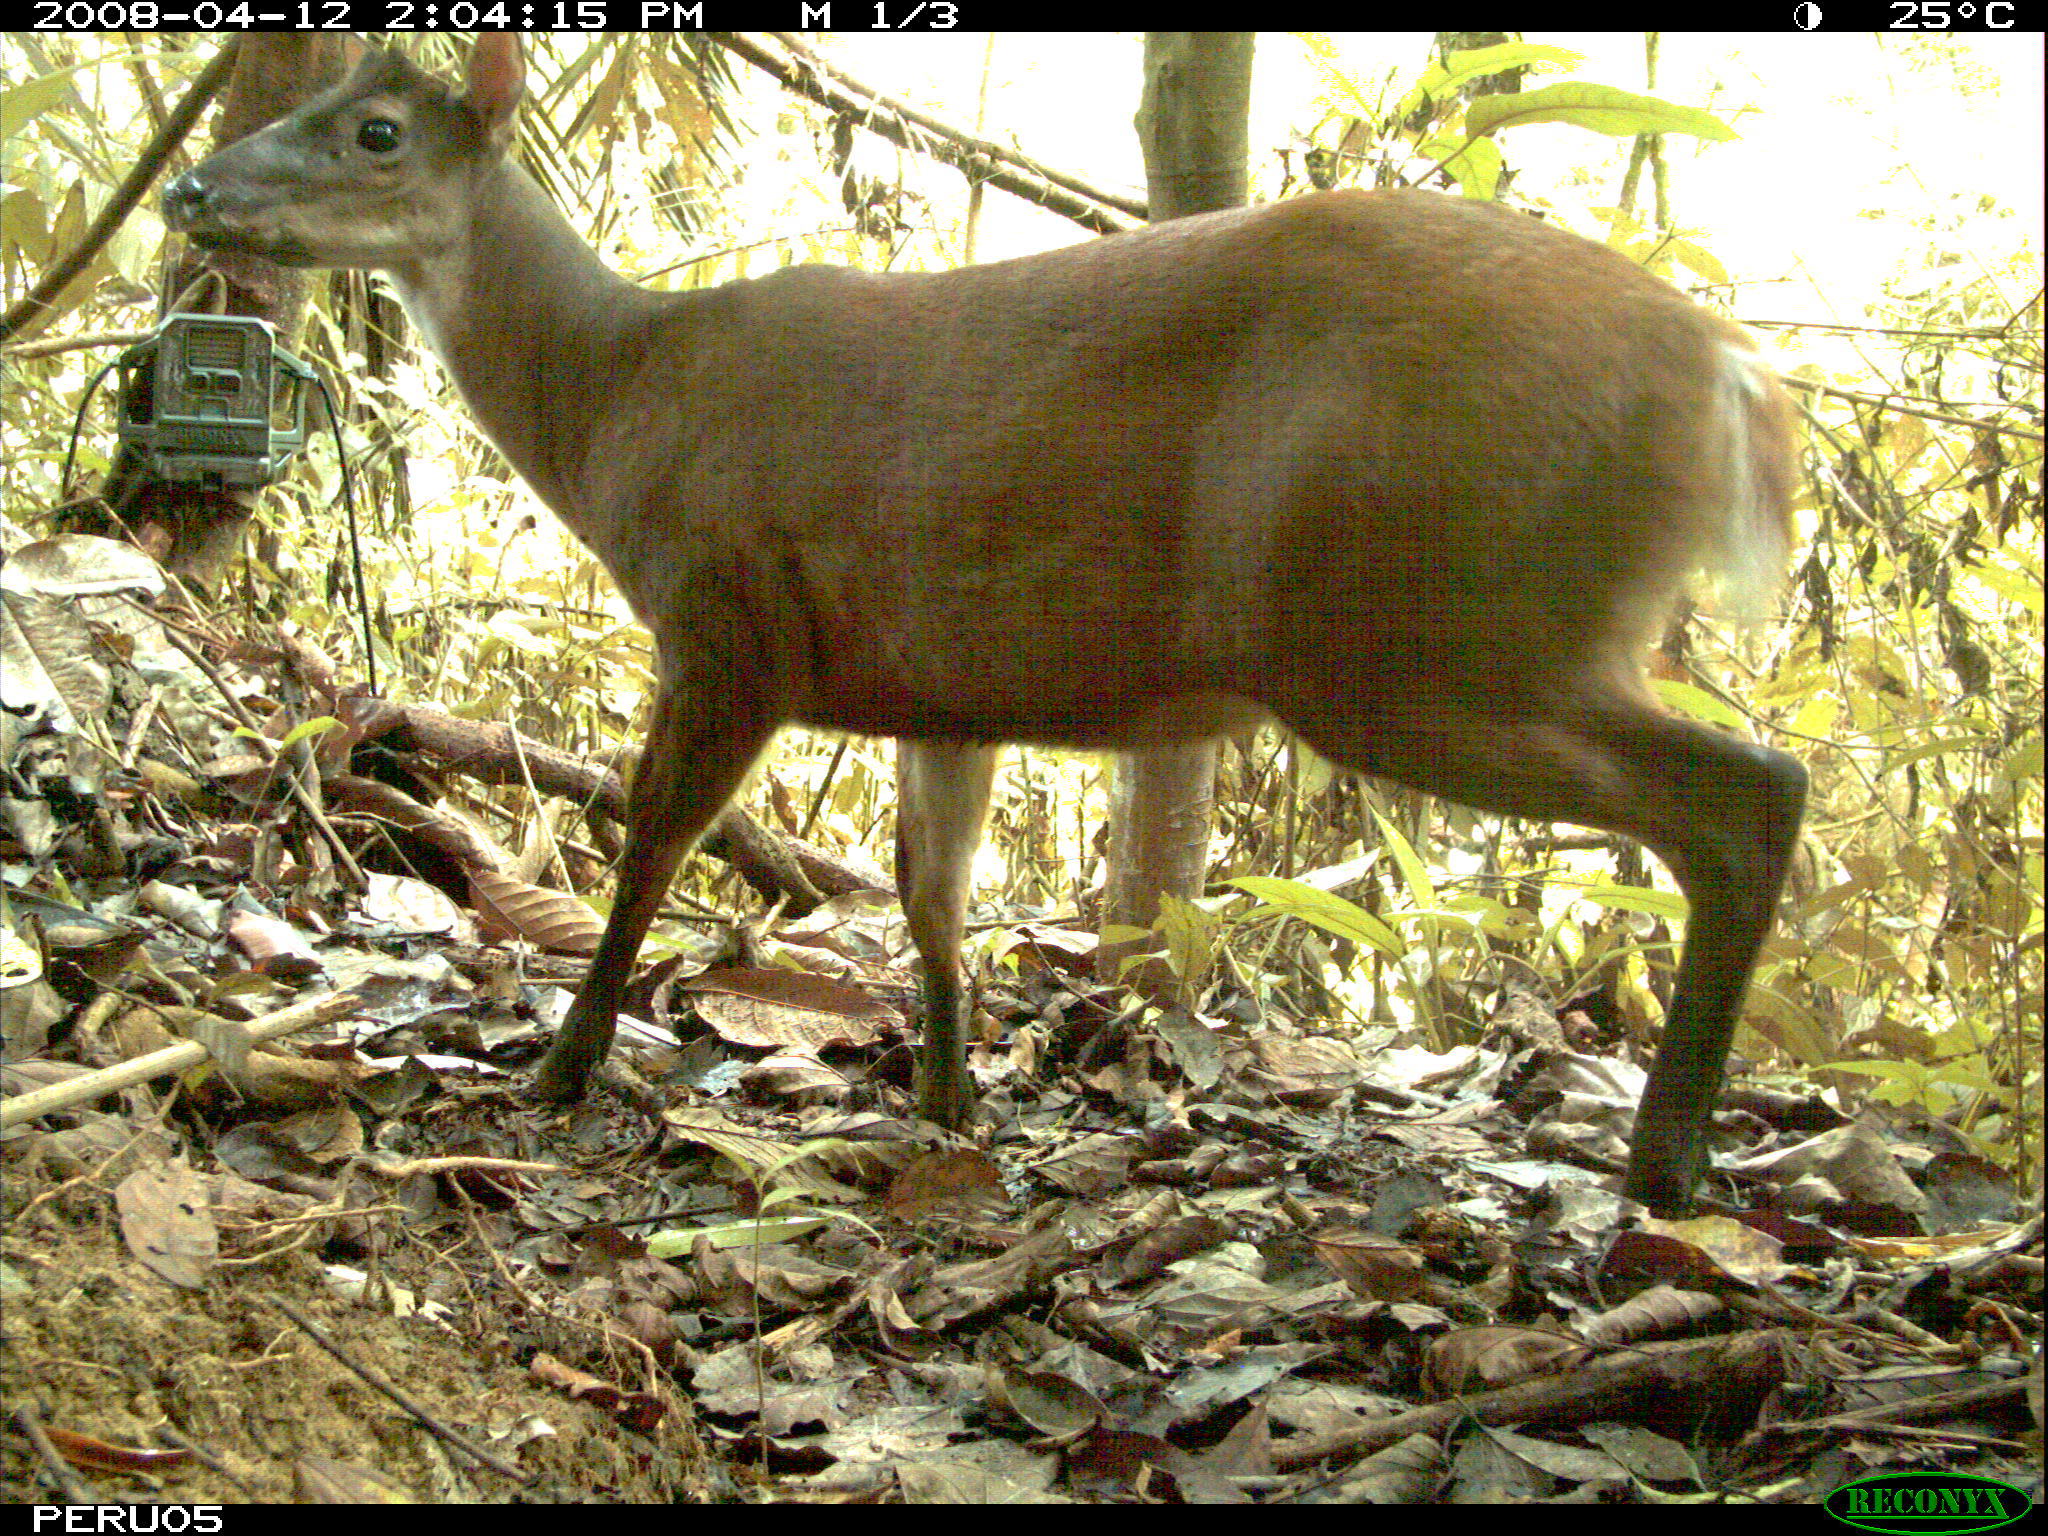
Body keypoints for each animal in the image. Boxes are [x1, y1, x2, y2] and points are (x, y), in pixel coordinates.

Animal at [172, 33, 1810, 1212]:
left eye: (375, 133)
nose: (190, 193)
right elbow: (931, 898)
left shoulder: (730, 612)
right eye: (316, 97)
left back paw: (1667, 1166)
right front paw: (952, 1106)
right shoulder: (933, 687)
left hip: (1422, 627)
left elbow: (651, 845)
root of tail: (1737, 386)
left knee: (1751, 792)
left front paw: (561, 1069)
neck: (622, 395)